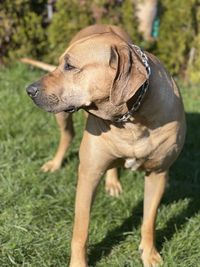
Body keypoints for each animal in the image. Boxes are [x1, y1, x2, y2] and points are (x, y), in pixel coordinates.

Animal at [26, 25, 186, 267]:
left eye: (69, 66)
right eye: (61, 63)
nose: (29, 89)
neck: (130, 120)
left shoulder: (158, 173)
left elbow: (149, 219)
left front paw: (150, 254)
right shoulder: (89, 173)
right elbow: (80, 231)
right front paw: (78, 263)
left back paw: (112, 182)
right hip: (62, 117)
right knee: (67, 136)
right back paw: (55, 163)